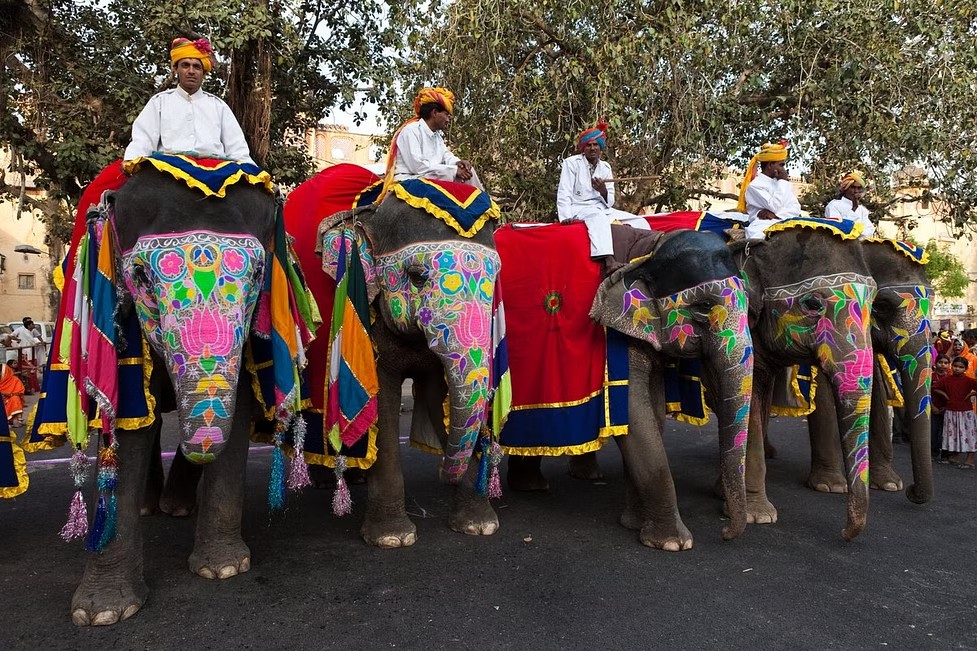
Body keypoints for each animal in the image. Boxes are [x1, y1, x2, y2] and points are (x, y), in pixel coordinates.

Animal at [65, 169, 280, 628]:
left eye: (258, 274)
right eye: (142, 276)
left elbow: (238, 407)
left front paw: (224, 569)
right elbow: (127, 424)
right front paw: (101, 614)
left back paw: (176, 507)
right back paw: (152, 506)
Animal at [316, 196, 504, 548]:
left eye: (496, 278)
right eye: (417, 276)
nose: (443, 472)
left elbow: (437, 396)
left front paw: (480, 526)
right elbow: (383, 404)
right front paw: (393, 538)